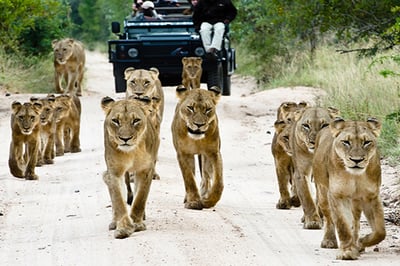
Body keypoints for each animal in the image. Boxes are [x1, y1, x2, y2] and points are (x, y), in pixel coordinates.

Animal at [101, 95, 157, 239]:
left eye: (136, 120)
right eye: (115, 121)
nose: (125, 139)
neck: (132, 152)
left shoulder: (145, 170)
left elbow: (140, 199)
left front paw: (137, 224)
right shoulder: (115, 172)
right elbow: (119, 201)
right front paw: (124, 228)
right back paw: (114, 222)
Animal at [312, 117, 384, 258]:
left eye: (367, 142)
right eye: (346, 142)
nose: (357, 160)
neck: (355, 176)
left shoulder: (371, 196)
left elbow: (380, 231)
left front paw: (361, 242)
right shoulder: (337, 195)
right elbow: (342, 225)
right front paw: (347, 252)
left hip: (356, 201)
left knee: (355, 221)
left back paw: (357, 244)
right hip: (323, 193)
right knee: (329, 217)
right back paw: (329, 241)